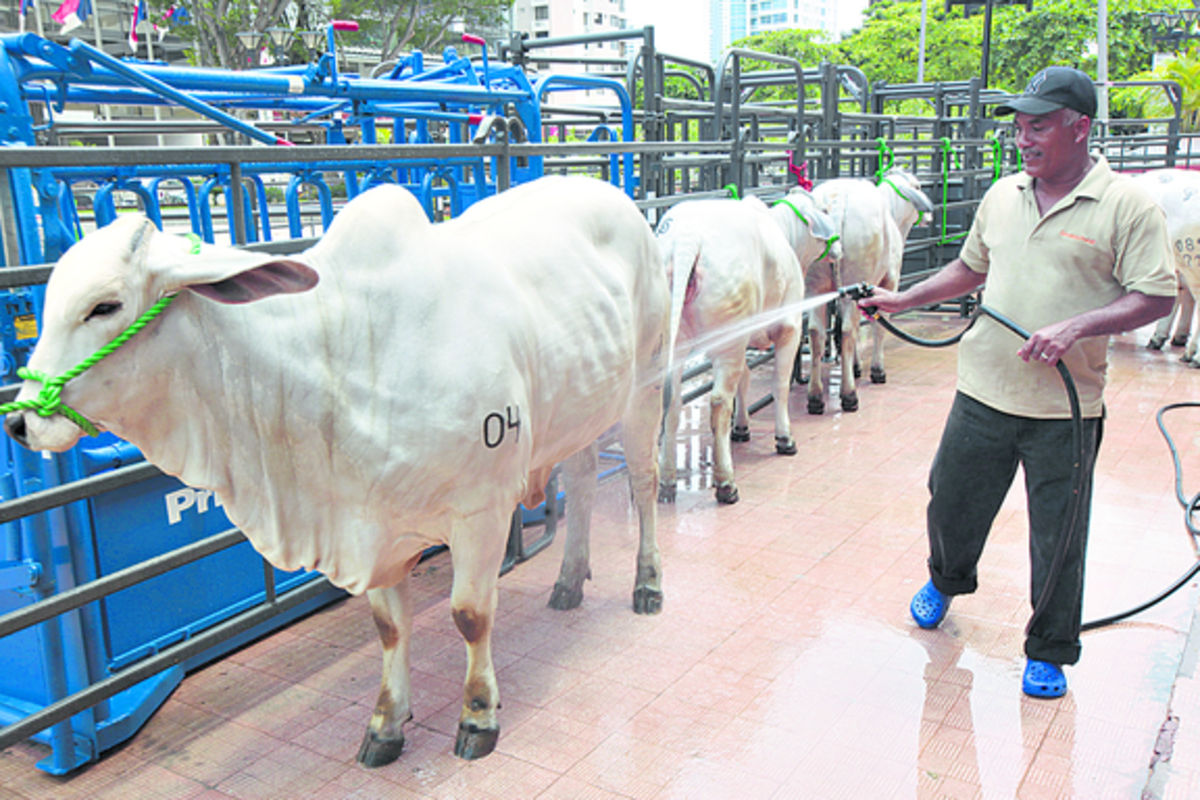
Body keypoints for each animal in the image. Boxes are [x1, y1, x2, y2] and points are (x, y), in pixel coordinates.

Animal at [2, 178, 676, 767]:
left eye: (104, 306)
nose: (21, 425)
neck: (338, 352)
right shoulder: (370, 520)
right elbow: (388, 627)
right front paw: (385, 725)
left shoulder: (480, 511)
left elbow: (469, 615)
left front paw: (478, 716)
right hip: (584, 405)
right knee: (584, 479)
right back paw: (568, 580)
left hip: (644, 385)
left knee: (643, 482)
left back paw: (647, 584)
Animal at [657, 190, 835, 503]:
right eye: (824, 210)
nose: (837, 245)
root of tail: (685, 237)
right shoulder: (789, 327)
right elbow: (779, 385)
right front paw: (784, 438)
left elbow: (745, 380)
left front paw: (741, 428)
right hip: (728, 339)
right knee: (718, 402)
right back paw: (726, 484)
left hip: (675, 341)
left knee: (673, 400)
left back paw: (667, 482)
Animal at [806, 165, 936, 410]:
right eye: (918, 186)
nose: (930, 216)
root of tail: (837, 200)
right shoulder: (889, 281)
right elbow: (879, 325)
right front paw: (877, 370)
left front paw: (856, 366)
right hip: (856, 275)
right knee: (848, 330)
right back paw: (849, 395)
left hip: (815, 285)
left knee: (817, 332)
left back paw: (815, 397)